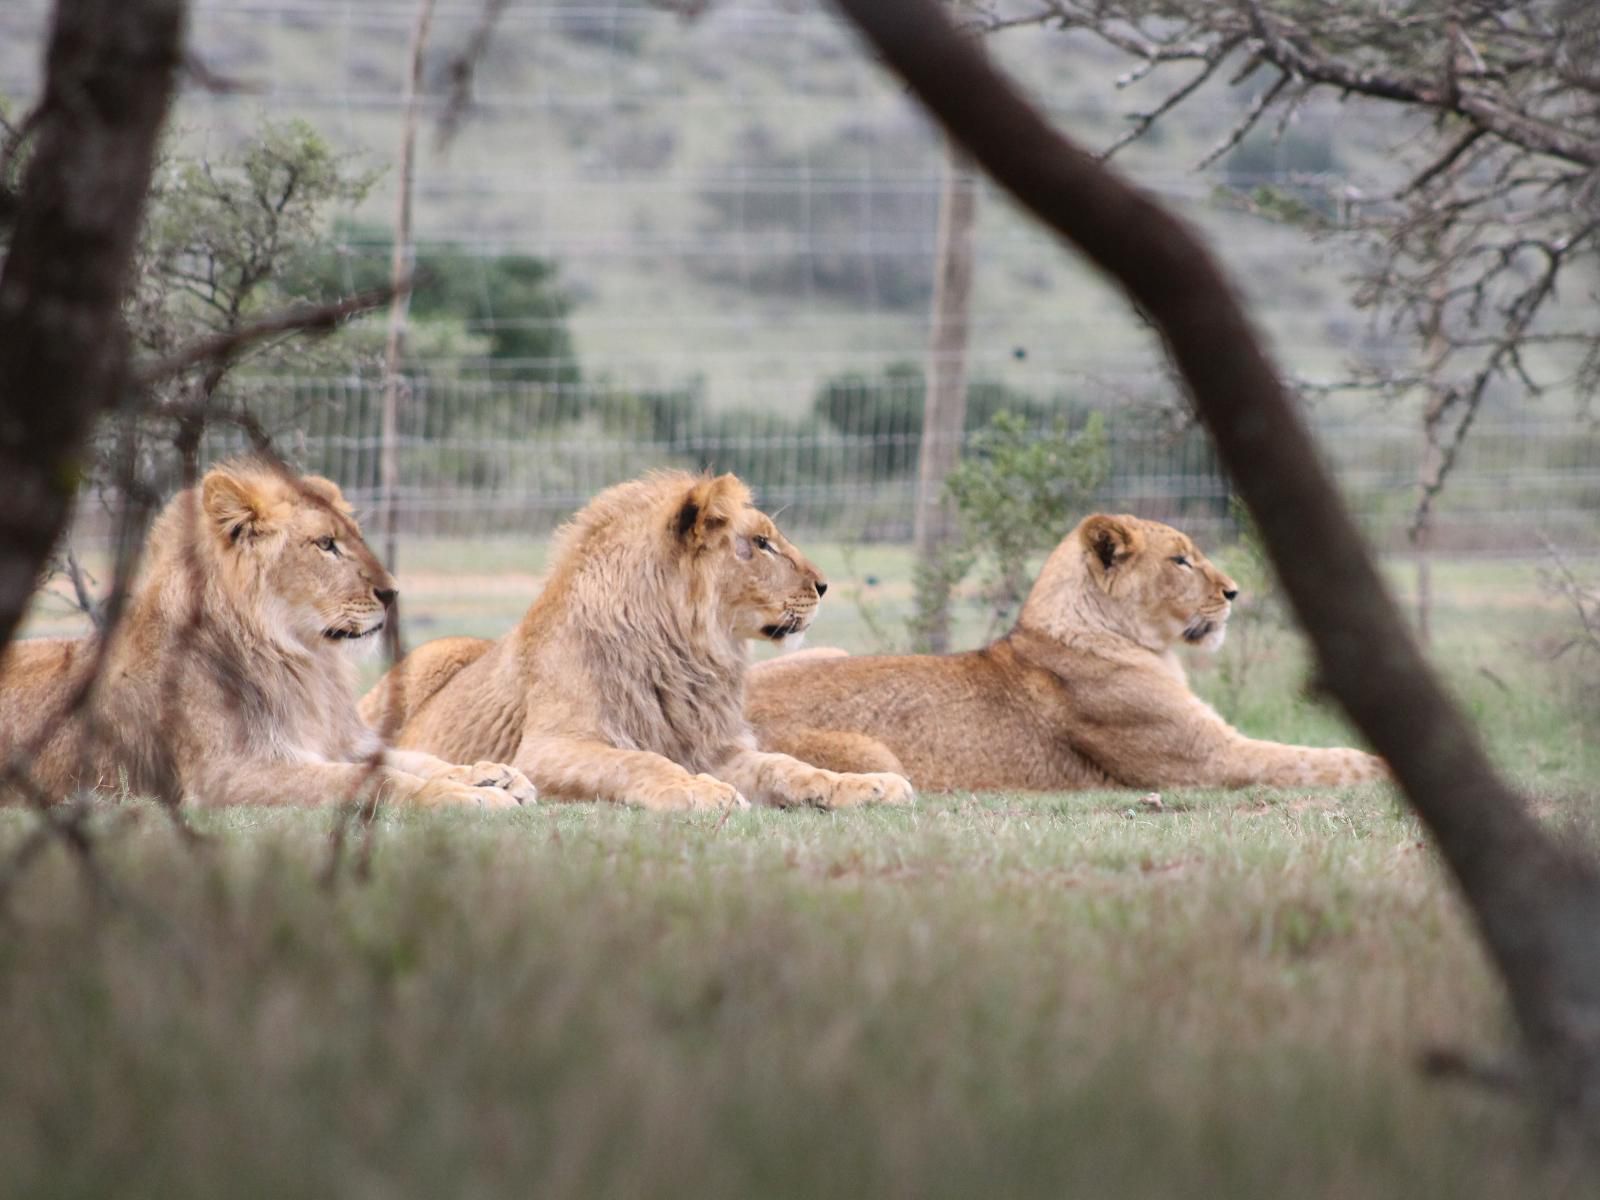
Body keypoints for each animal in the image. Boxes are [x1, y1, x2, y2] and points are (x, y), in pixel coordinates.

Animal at [0, 464, 537, 812]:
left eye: (353, 536)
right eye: (326, 544)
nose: (392, 593)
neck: (303, 660)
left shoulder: (334, 738)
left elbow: (411, 757)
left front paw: (492, 773)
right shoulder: (229, 776)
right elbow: (376, 781)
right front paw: (465, 795)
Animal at [361, 473, 915, 812]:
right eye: (760, 544)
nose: (823, 585)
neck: (686, 653)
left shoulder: (718, 748)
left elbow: (789, 766)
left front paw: (866, 784)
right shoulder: (545, 750)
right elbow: (637, 759)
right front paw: (693, 790)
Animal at [745, 512, 1388, 793]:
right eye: (1181, 560)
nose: (1233, 592)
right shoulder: (1212, 760)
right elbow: (1312, 760)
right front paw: (1382, 766)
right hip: (880, 758)